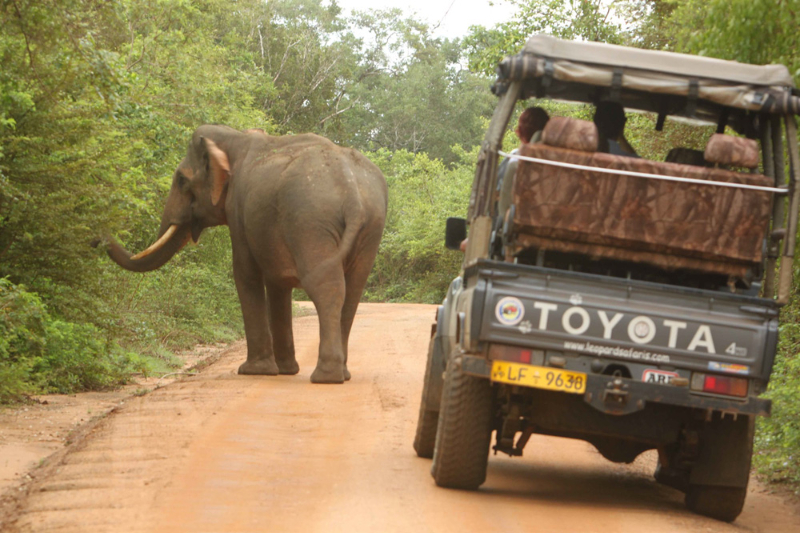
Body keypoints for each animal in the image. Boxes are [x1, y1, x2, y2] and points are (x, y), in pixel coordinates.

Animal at [101, 124, 390, 382]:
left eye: (181, 180)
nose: (98, 238)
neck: (235, 138)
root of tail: (352, 194)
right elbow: (277, 283)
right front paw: (285, 371)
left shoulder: (238, 209)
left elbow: (244, 272)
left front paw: (253, 371)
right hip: (370, 227)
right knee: (352, 291)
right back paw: (342, 374)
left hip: (310, 220)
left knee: (326, 286)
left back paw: (326, 378)